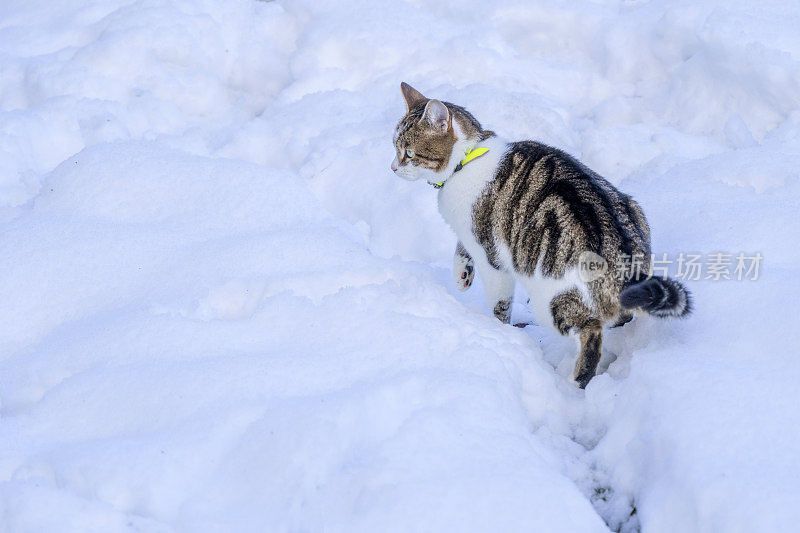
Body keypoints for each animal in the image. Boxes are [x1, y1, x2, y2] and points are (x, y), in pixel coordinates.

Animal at [390, 82, 692, 386]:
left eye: (409, 153)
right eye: (395, 147)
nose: (392, 167)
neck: (468, 158)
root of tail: (624, 262)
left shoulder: (491, 255)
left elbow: (499, 303)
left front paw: (499, 333)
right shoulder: (473, 231)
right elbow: (462, 247)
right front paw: (462, 273)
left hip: (553, 300)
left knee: (591, 332)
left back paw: (574, 382)